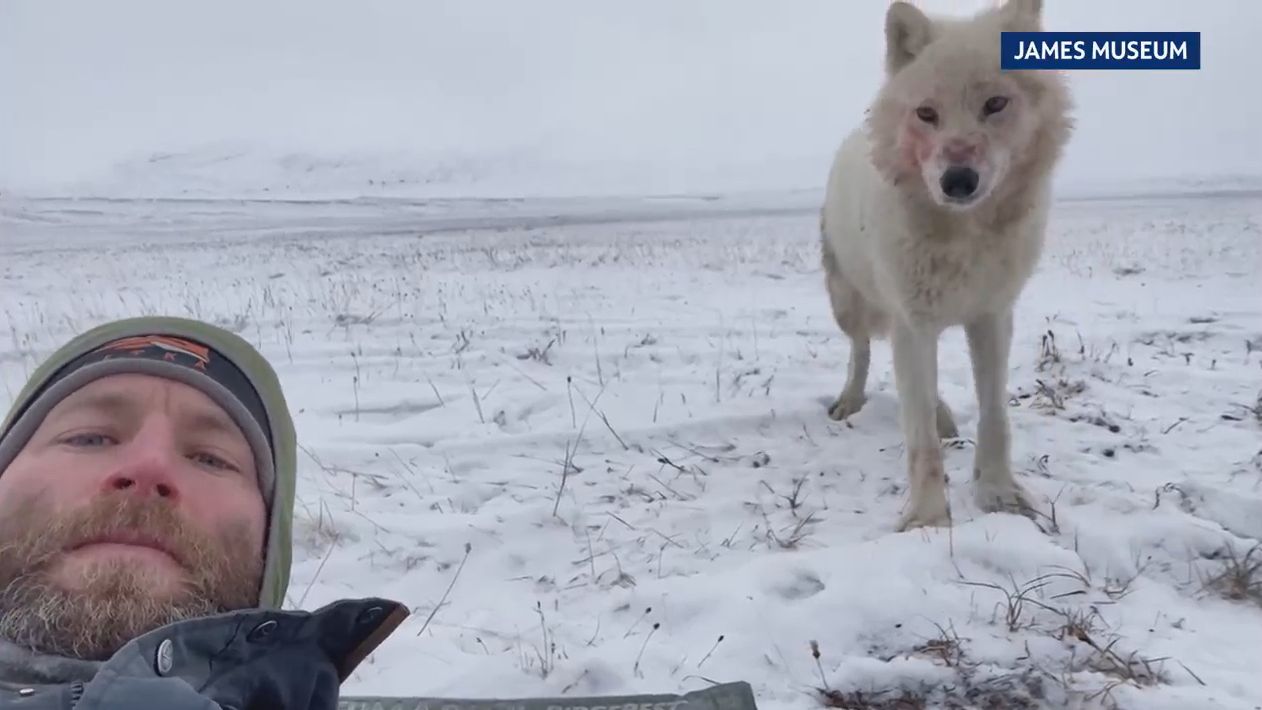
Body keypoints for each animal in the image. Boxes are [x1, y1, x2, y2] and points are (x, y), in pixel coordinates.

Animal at [819, 0, 1073, 531]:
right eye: (926, 114)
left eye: (995, 103)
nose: (958, 180)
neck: (963, 238)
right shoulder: (912, 320)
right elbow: (920, 443)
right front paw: (927, 520)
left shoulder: (992, 317)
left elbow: (995, 417)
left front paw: (999, 495)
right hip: (850, 302)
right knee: (862, 351)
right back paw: (851, 401)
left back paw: (943, 416)